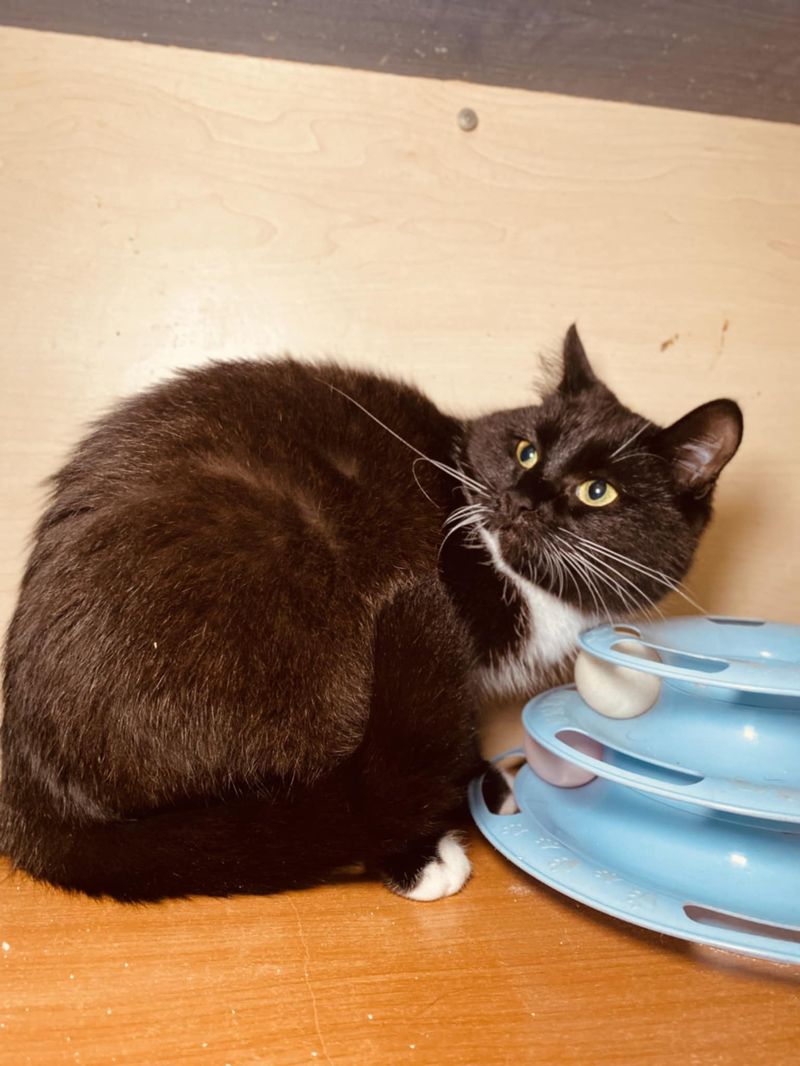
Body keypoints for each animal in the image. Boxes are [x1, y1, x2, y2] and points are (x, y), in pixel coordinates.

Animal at [0, 326, 742, 902]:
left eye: (597, 491)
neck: (528, 581)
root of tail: (31, 788)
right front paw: (456, 815)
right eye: (527, 448)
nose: (522, 499)